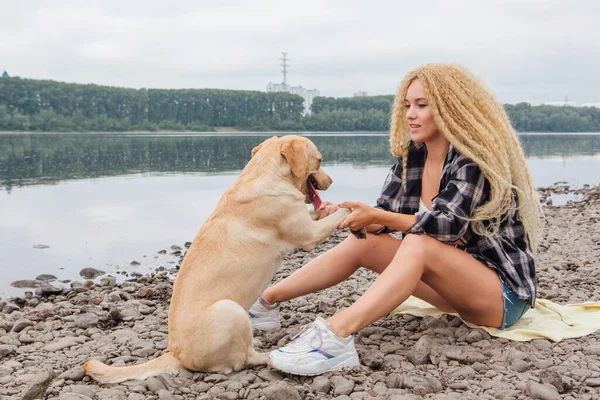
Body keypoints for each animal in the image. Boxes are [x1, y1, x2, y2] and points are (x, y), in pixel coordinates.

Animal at [82, 136, 350, 382]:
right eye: (320, 160)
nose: (332, 180)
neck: (266, 174)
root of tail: (176, 355)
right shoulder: (308, 234)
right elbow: (338, 215)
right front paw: (352, 208)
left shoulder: (306, 220)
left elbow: (320, 211)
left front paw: (332, 206)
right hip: (230, 310)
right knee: (245, 359)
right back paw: (271, 355)